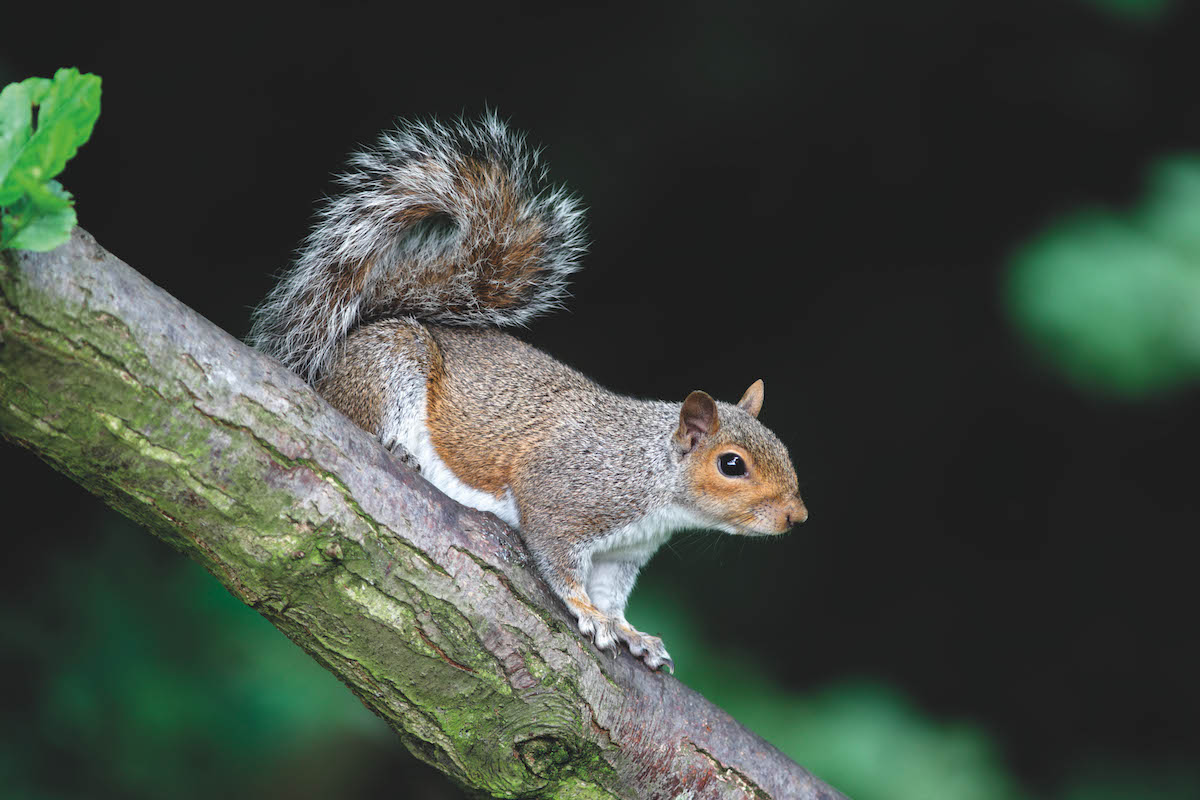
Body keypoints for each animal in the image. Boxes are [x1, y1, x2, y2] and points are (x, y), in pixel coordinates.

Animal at [247, 112, 806, 671]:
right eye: (731, 464)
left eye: (782, 449)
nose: (796, 517)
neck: (651, 474)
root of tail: (336, 356)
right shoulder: (564, 496)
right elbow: (559, 563)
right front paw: (589, 614)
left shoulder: (621, 555)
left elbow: (612, 594)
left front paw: (632, 631)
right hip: (388, 366)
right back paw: (395, 448)